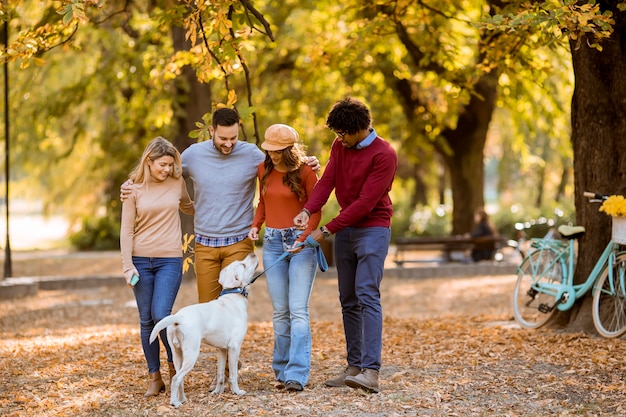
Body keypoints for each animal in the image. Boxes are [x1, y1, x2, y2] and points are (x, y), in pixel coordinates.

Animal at [149, 252, 258, 404]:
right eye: (242, 265)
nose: (253, 253)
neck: (233, 295)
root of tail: (179, 317)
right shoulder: (234, 347)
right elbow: (233, 374)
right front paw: (237, 392)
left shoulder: (222, 350)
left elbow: (220, 373)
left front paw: (217, 392)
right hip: (192, 354)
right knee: (176, 378)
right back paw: (175, 403)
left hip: (177, 354)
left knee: (179, 378)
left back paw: (183, 400)